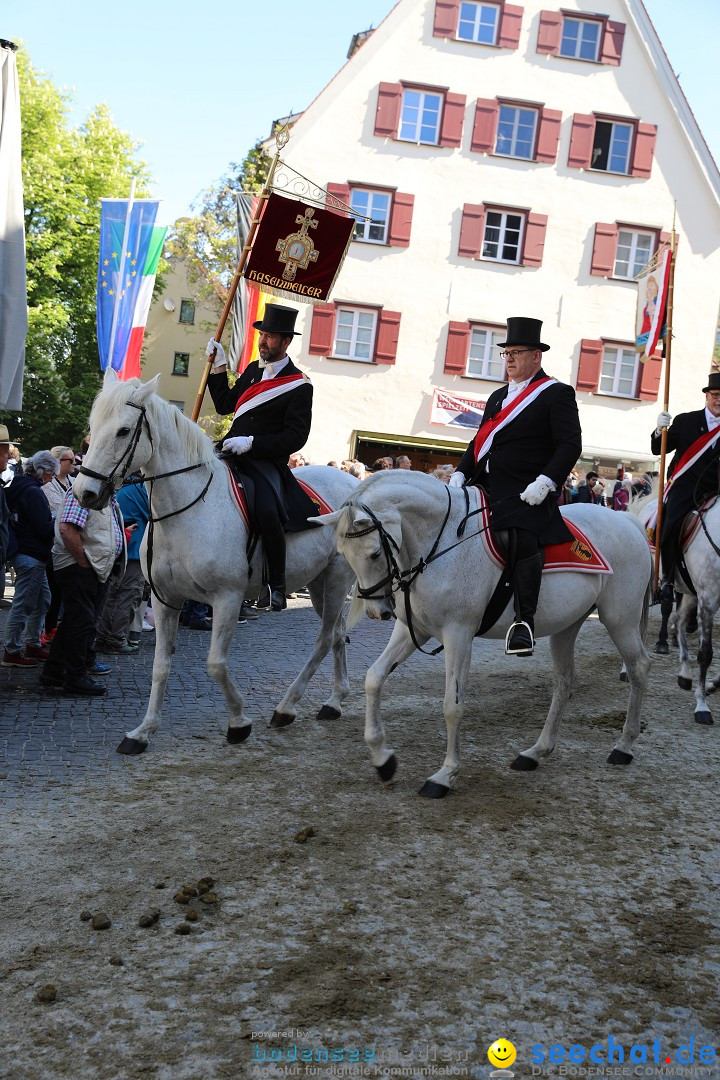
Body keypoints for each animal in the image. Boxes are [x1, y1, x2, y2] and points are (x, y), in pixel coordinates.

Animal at [71, 369, 358, 751]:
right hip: (319, 584)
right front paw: (143, 732)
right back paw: (334, 701)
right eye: (94, 425)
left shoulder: (227, 598)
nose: (84, 494)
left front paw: (238, 722)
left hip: (337, 580)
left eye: (123, 431)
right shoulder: (166, 600)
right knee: (337, 634)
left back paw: (286, 707)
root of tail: (355, 483)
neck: (184, 511)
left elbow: (216, 664)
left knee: (325, 639)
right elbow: (160, 666)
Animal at [315, 470, 651, 794]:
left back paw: (624, 746)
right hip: (567, 626)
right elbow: (373, 679)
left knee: (638, 668)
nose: (378, 611)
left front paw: (444, 775)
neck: (440, 540)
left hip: (619, 619)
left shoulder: (458, 634)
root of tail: (627, 521)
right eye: (342, 552)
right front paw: (383, 759)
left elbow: (452, 706)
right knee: (564, 681)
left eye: (374, 553)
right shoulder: (414, 630)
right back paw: (535, 753)